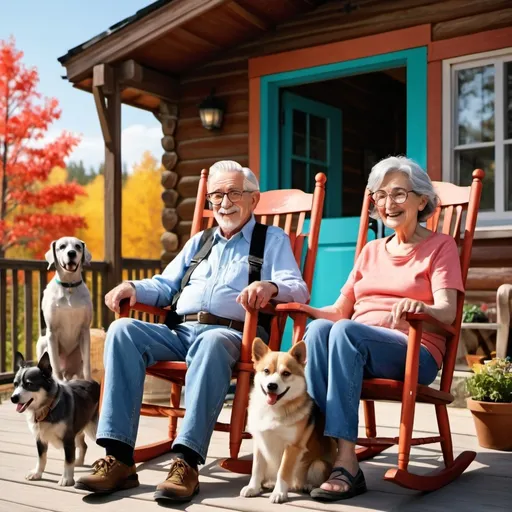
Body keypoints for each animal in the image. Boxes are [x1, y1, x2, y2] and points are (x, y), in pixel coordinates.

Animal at [10, 352, 100, 488]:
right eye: (15, 384)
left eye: (29, 384)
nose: (13, 398)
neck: (47, 409)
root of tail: (93, 382)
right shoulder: (40, 438)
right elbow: (41, 457)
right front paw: (37, 473)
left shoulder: (68, 439)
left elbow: (68, 460)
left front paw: (67, 479)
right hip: (77, 430)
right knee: (83, 445)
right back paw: (79, 461)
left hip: (92, 428)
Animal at [240, 338, 336, 502]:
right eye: (266, 371)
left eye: (286, 373)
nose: (271, 386)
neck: (272, 409)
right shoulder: (259, 443)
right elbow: (256, 469)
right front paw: (253, 487)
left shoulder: (292, 447)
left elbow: (283, 471)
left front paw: (279, 493)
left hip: (318, 465)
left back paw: (307, 486)